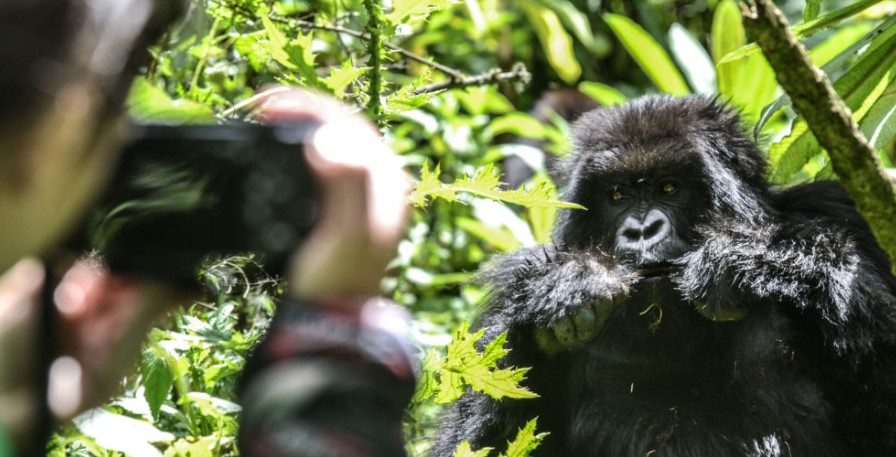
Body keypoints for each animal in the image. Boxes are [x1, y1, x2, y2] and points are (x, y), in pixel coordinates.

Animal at [428, 94, 896, 454]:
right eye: (616, 196)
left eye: (669, 188)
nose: (641, 230)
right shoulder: (512, 286)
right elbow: (475, 441)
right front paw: (570, 286)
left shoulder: (842, 210)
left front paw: (751, 259)